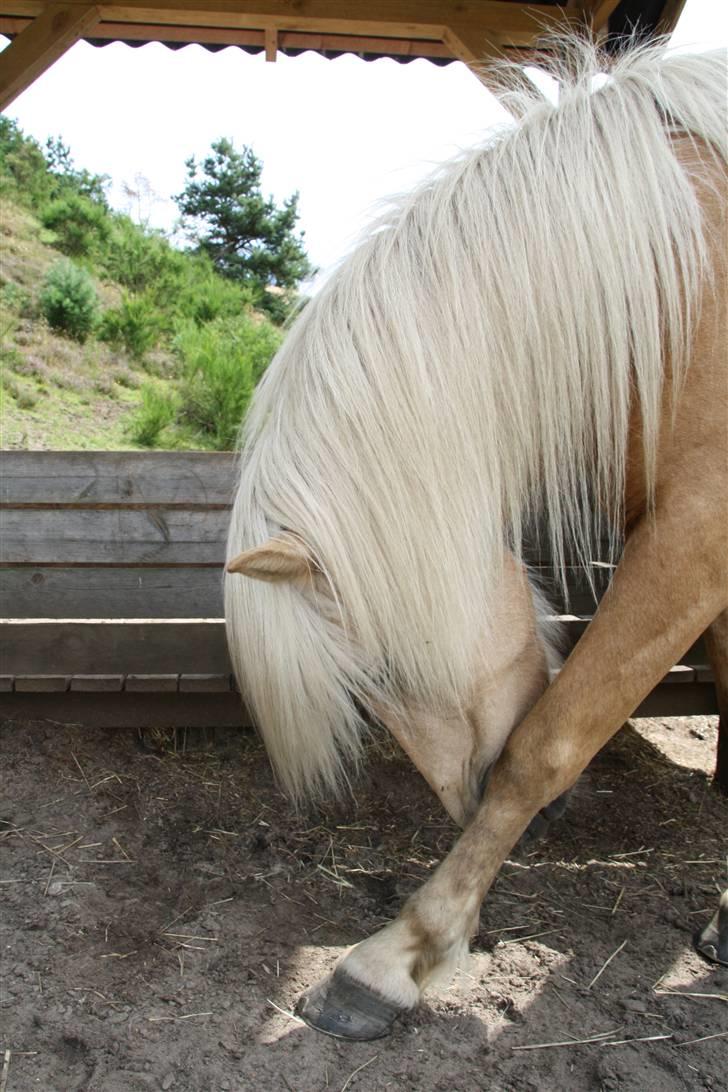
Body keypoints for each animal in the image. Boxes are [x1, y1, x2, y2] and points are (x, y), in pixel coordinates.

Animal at [224, 36, 728, 1039]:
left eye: (379, 671)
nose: (461, 801)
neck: (685, 275)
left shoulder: (697, 530)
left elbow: (550, 741)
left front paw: (396, 957)